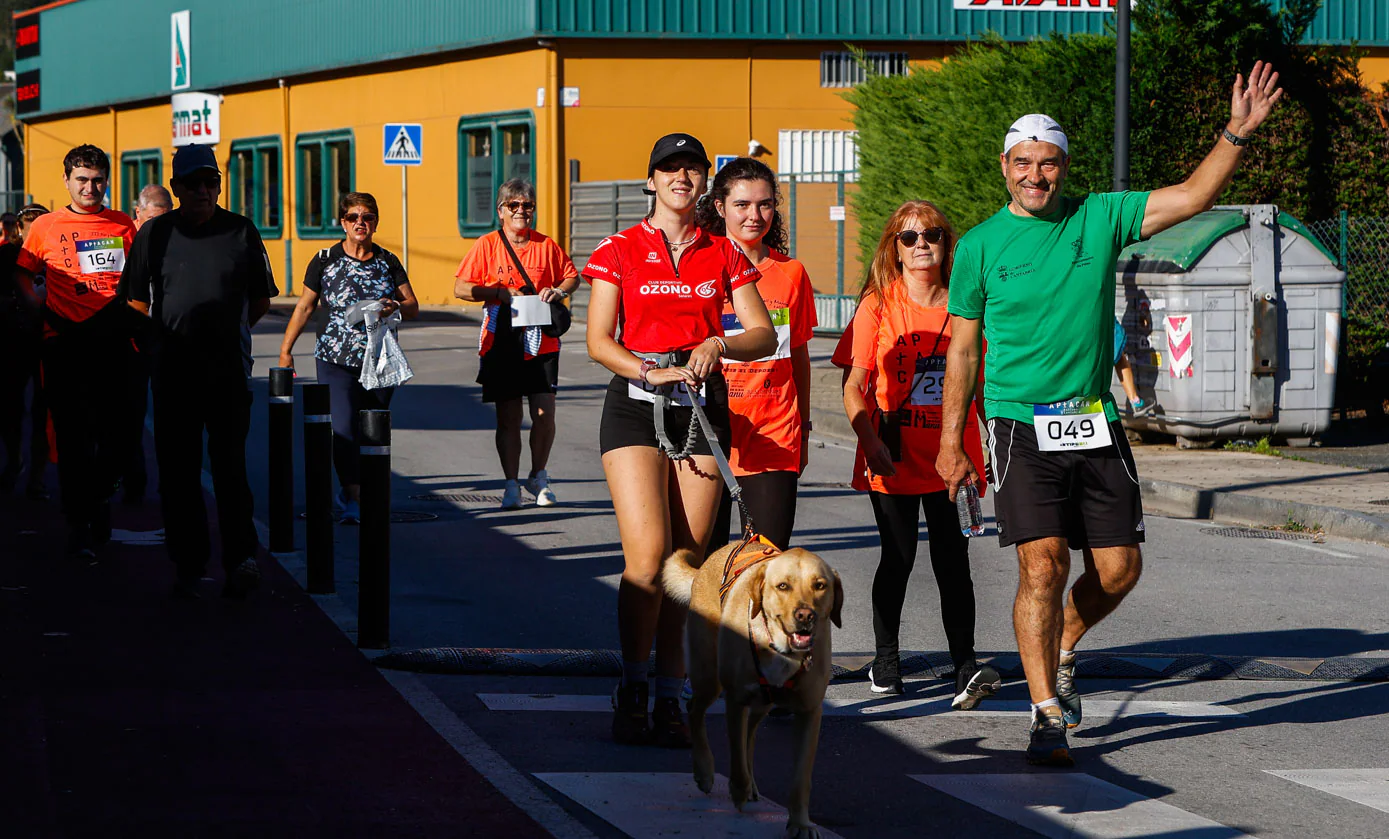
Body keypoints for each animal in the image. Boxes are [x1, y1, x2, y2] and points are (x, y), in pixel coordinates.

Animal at [663, 541, 844, 833]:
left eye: (820, 585)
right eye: (783, 586)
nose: (806, 615)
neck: (782, 650)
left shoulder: (809, 712)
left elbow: (800, 779)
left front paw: (800, 823)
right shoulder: (736, 699)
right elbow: (736, 755)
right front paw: (738, 791)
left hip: (764, 703)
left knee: (750, 732)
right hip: (708, 677)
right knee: (694, 710)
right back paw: (705, 771)